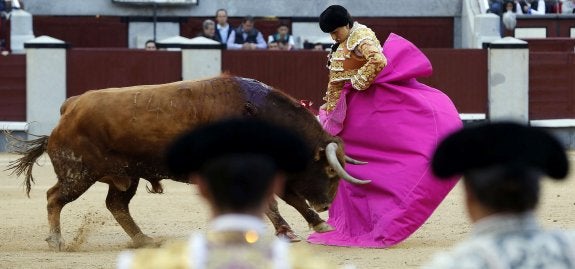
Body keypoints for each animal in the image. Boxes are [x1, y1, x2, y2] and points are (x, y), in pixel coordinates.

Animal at [7, 75, 368, 249]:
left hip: (126, 176)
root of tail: (69, 108)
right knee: (54, 197)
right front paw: (293, 229)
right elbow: (276, 202)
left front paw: (315, 225)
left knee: (116, 205)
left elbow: (287, 198)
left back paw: (144, 240)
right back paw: (57, 241)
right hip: (78, 173)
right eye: (328, 170)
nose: (325, 206)